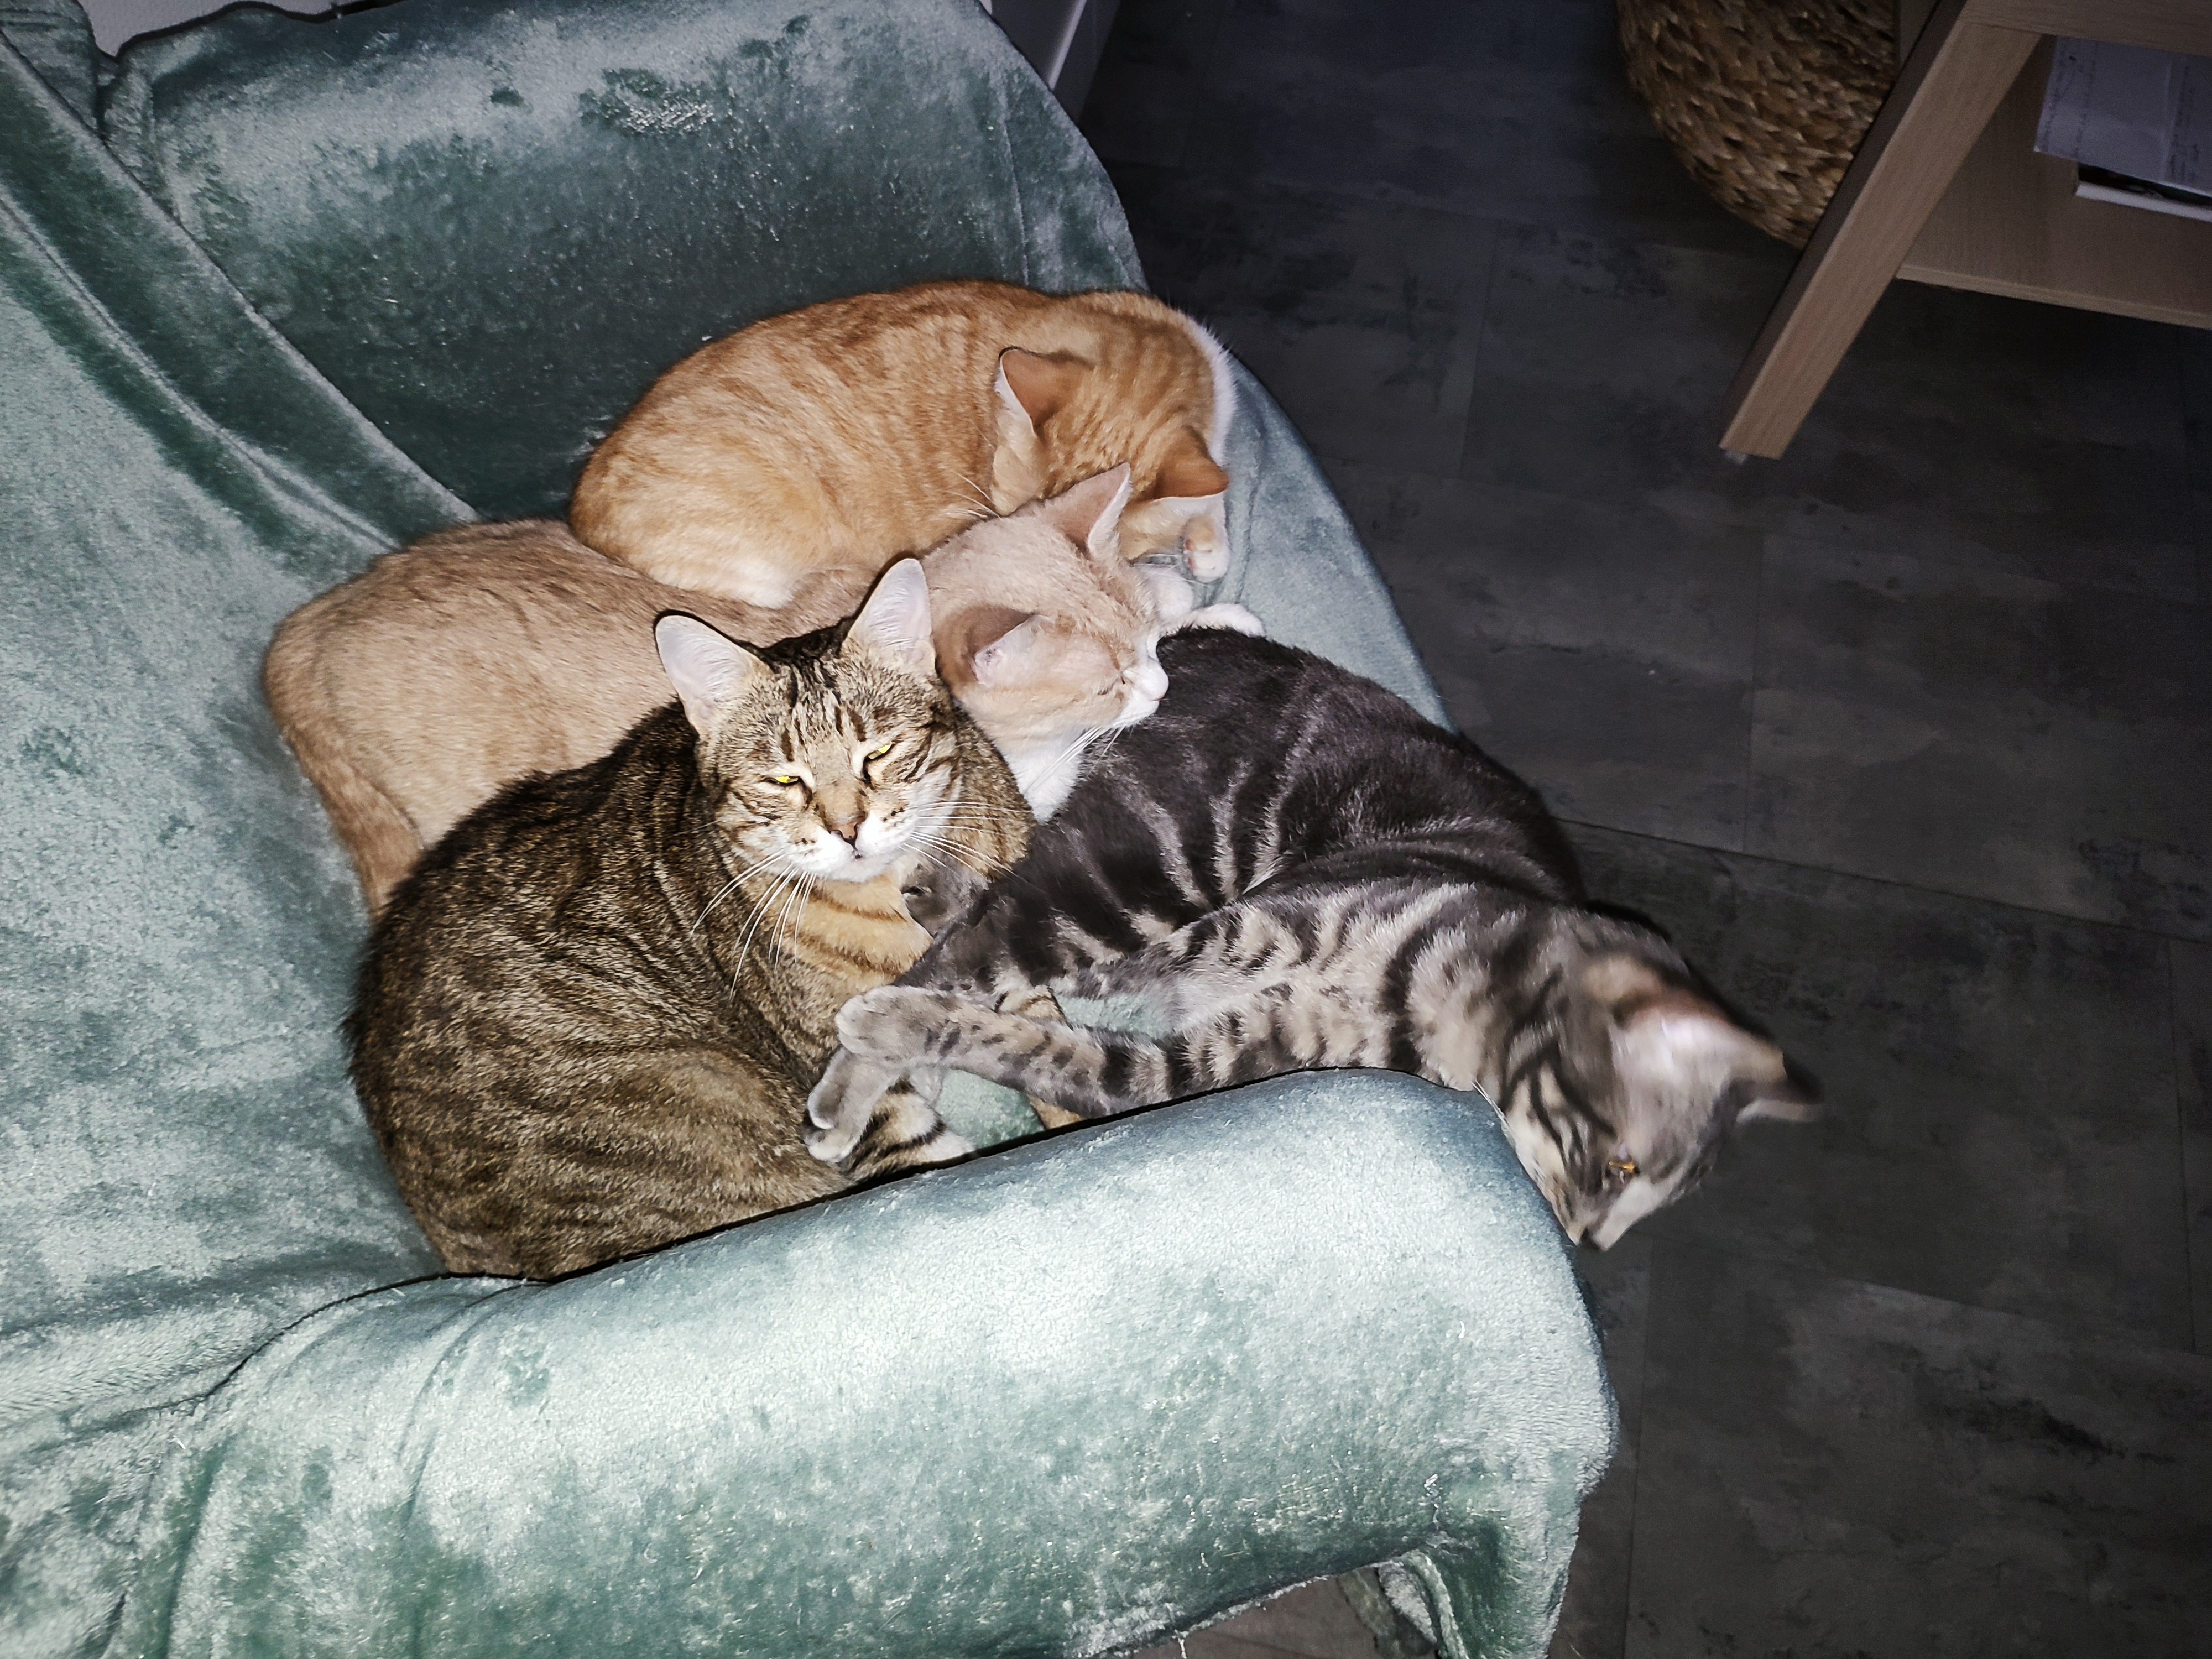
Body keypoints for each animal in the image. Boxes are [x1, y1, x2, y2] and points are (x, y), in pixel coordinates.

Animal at [803, 630, 1814, 1251]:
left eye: (1649, 1201)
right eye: (1621, 1166)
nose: (1588, 1246)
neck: (1434, 1012)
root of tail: (1189, 640)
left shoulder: (1188, 1057)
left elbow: (1031, 1034)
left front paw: (912, 1001)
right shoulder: (1230, 927)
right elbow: (975, 988)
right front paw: (875, 1037)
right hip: (1155, 869)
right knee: (1002, 930)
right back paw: (850, 1082)